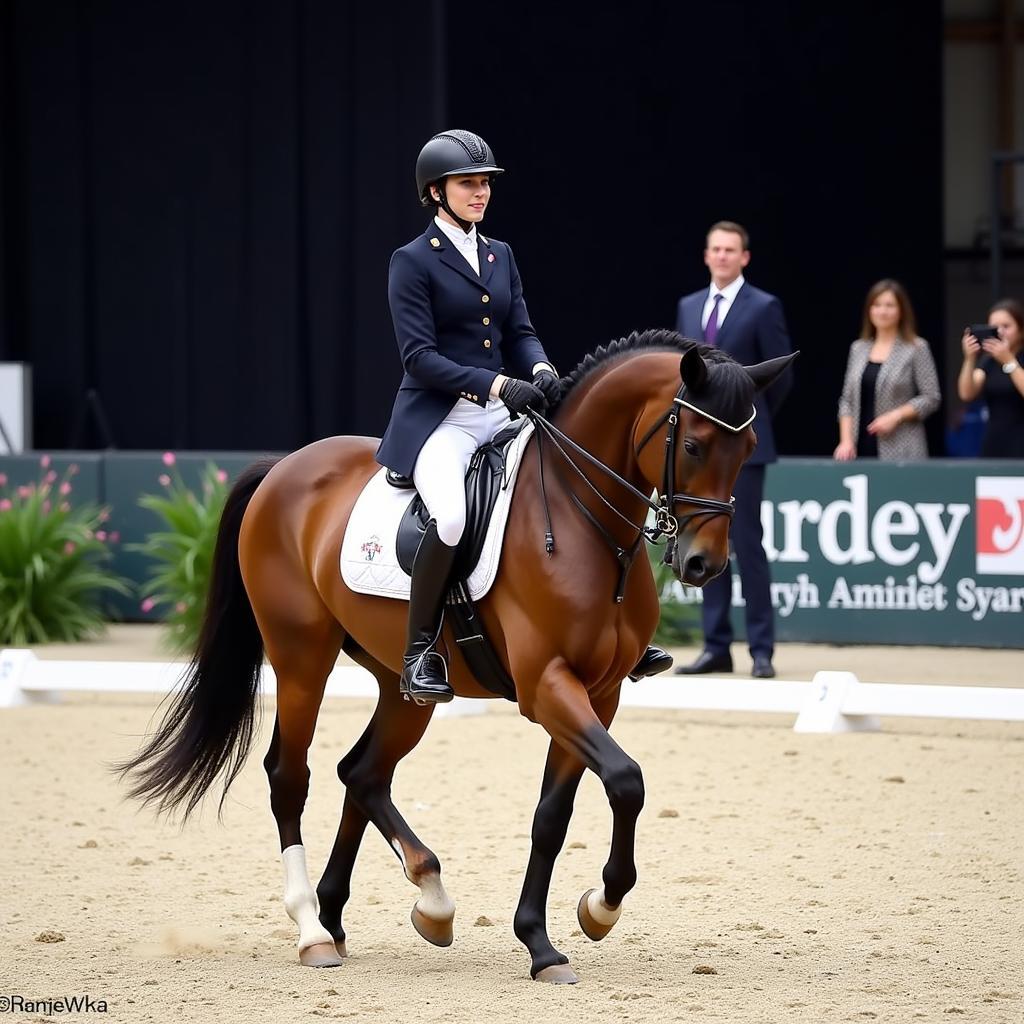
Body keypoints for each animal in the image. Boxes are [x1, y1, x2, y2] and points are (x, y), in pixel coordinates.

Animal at [117, 327, 790, 983]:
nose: (703, 565)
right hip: (301, 656)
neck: (583, 518)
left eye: (750, 446)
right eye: (695, 445)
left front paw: (547, 940)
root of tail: (285, 465)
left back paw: (408, 903)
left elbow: (555, 814)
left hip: (404, 686)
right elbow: (626, 780)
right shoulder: (547, 686)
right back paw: (315, 931)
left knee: (362, 772)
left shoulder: (599, 694)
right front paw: (598, 907)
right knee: (291, 775)